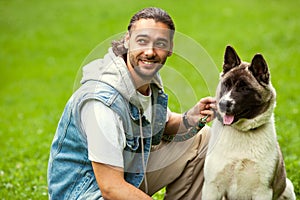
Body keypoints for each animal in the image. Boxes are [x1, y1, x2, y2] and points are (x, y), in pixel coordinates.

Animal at [202, 45, 296, 200]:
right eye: (226, 84)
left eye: (244, 88)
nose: (222, 104)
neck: (242, 132)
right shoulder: (212, 187)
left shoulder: (262, 191)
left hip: (288, 187)